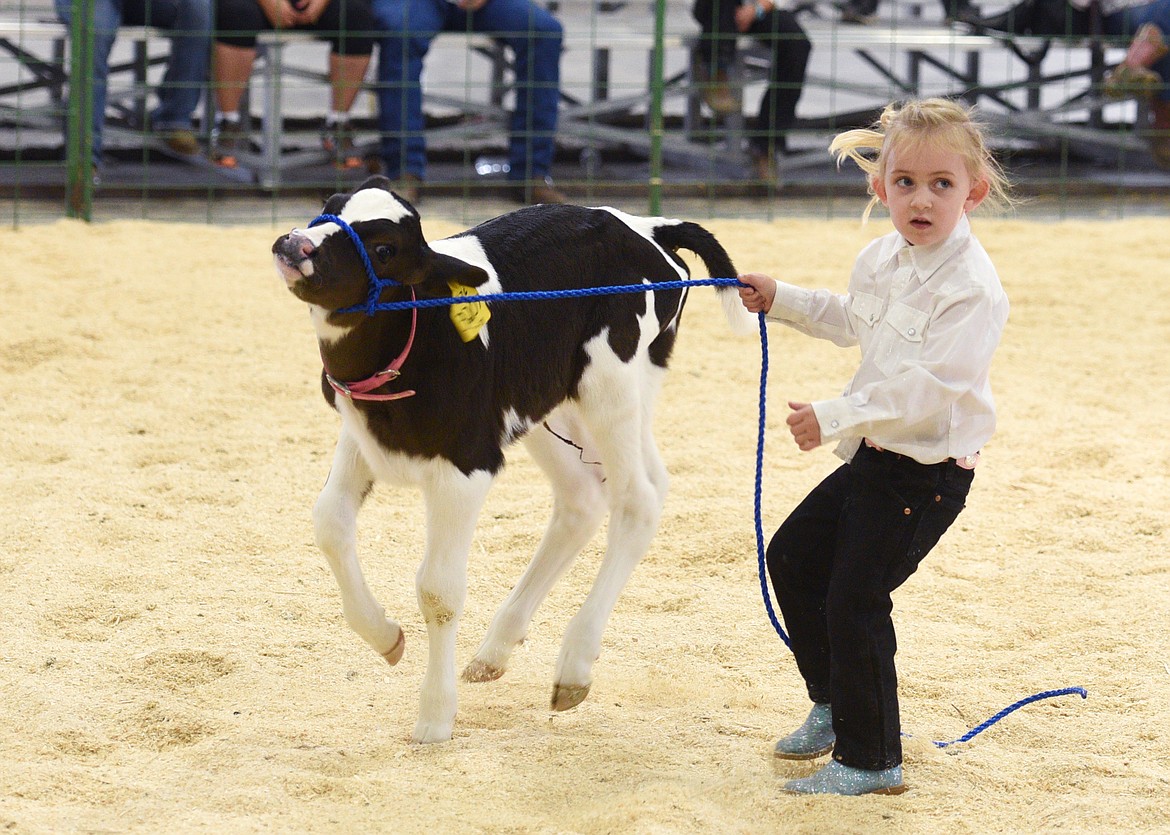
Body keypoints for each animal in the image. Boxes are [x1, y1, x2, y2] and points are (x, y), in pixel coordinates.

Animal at [270, 175, 753, 743]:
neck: (420, 332)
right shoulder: (362, 435)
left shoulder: (465, 465)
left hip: (611, 386)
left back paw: (573, 668)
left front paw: (434, 717)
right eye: (329, 208)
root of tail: (648, 226)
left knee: (639, 499)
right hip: (548, 405)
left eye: (385, 249)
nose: (296, 244)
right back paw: (494, 652)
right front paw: (386, 636)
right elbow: (328, 522)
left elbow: (438, 589)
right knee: (586, 498)